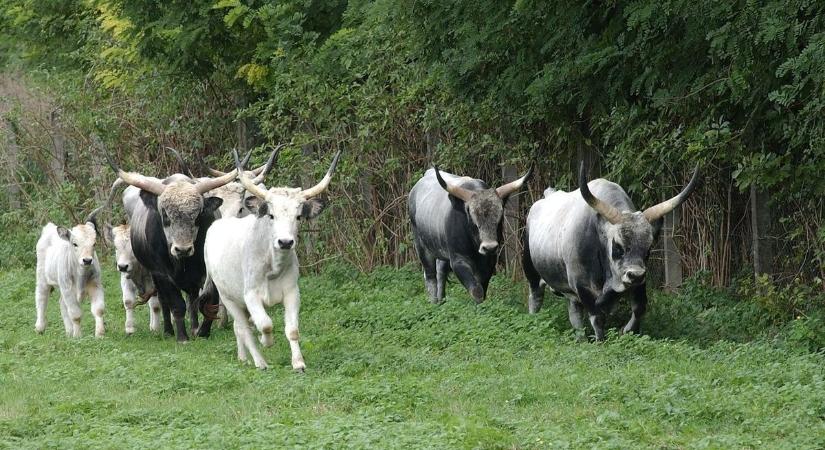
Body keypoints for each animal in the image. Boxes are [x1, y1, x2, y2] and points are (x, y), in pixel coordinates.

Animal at [204, 150, 340, 370]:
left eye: (298, 216)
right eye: (271, 215)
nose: (285, 242)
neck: (272, 268)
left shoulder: (292, 293)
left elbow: (292, 330)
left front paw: (298, 363)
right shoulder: (251, 295)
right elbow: (265, 325)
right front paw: (265, 341)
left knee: (241, 327)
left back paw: (243, 357)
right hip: (228, 297)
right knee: (243, 328)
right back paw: (259, 362)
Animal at [408, 167, 532, 304]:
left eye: (499, 218)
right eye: (473, 220)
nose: (489, 247)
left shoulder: (489, 262)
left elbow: (482, 289)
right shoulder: (458, 260)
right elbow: (477, 291)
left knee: (441, 271)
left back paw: (442, 300)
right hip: (421, 246)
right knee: (430, 275)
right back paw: (434, 302)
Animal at [520, 163, 696, 340]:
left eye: (648, 248)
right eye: (617, 246)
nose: (635, 275)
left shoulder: (639, 283)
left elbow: (639, 308)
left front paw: (626, 330)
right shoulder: (582, 286)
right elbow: (597, 317)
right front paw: (601, 341)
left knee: (574, 313)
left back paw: (580, 339)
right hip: (531, 272)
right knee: (535, 297)